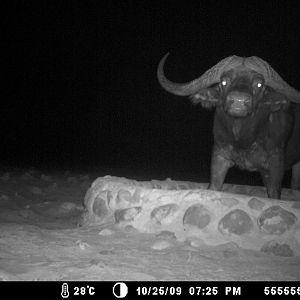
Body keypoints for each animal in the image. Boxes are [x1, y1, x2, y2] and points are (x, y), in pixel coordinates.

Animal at [157, 54, 300, 199]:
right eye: (224, 82)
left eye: (259, 84)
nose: (238, 101)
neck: (243, 139)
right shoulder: (219, 156)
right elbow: (213, 187)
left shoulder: (276, 161)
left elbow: (274, 193)